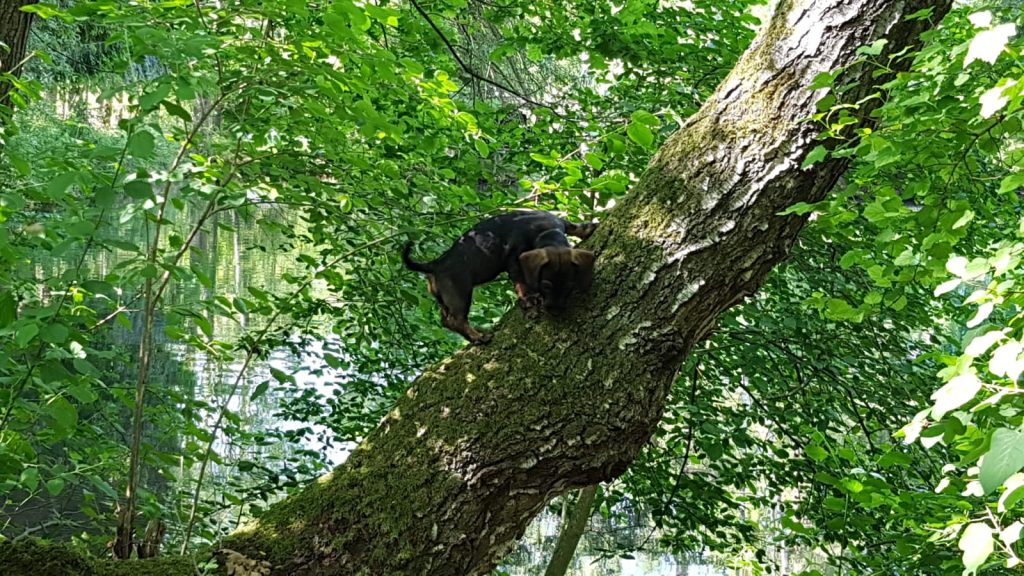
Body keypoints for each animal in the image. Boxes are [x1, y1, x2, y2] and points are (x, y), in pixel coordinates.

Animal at [401, 212, 598, 342]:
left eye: (569, 286)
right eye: (546, 286)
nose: (555, 311)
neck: (544, 230)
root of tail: (435, 264)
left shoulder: (561, 223)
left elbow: (574, 226)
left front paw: (588, 228)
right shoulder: (514, 260)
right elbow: (521, 282)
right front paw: (529, 299)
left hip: (443, 298)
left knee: (445, 320)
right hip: (460, 293)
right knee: (456, 320)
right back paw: (479, 336)